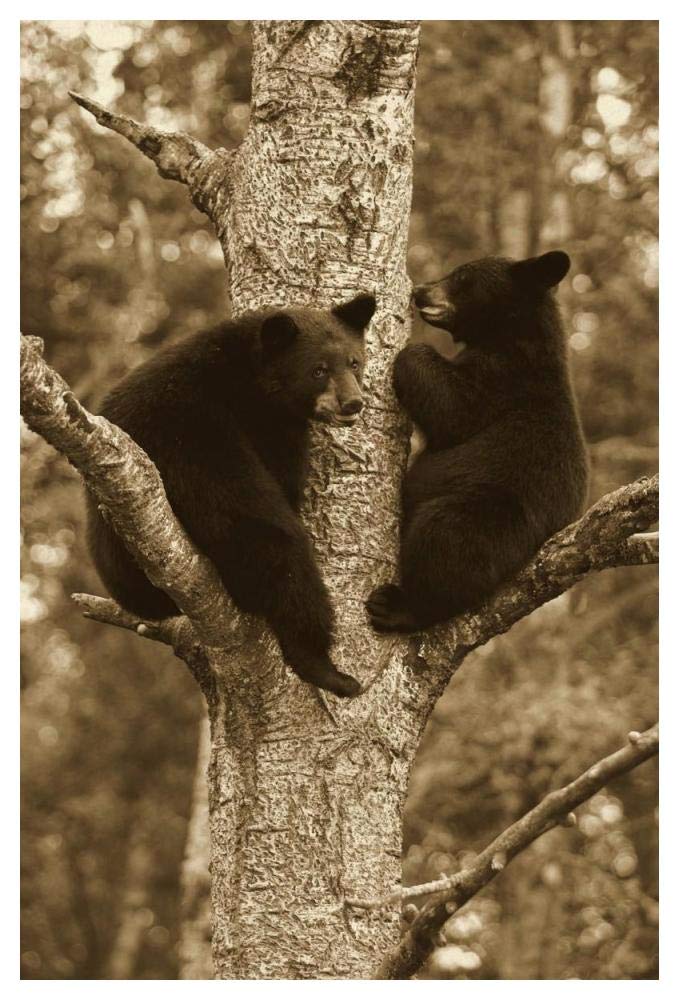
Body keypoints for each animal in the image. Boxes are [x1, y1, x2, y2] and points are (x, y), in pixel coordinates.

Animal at [87, 294, 376, 697]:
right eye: (318, 370)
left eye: (354, 362)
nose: (353, 403)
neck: (250, 382)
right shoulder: (215, 427)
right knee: (280, 550)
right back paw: (326, 669)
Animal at [366, 250, 589, 633]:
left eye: (462, 278)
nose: (420, 291)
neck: (511, 336)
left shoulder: (502, 380)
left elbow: (452, 406)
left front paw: (408, 350)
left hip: (495, 515)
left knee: (446, 539)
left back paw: (400, 607)